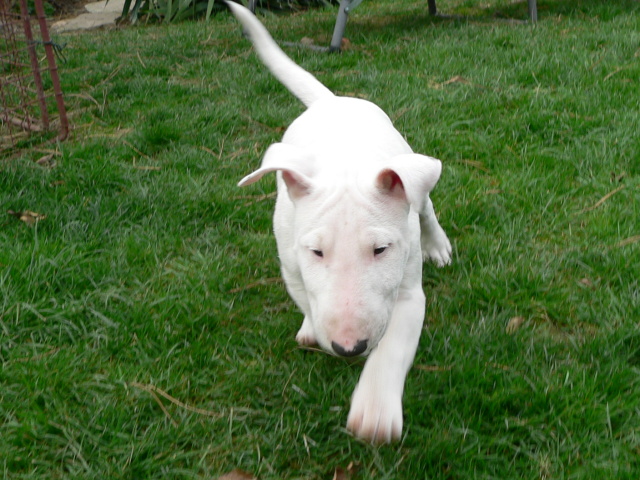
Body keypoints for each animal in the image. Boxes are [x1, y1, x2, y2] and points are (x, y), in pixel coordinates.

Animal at [227, 1, 452, 443]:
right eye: (316, 251)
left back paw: (438, 245)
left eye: (381, 249)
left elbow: (394, 344)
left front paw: (375, 412)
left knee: (426, 208)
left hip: (411, 174)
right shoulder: (291, 263)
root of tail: (331, 101)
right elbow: (306, 297)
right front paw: (312, 326)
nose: (350, 347)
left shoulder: (407, 291)